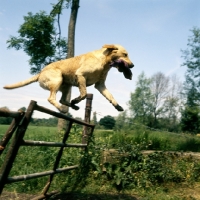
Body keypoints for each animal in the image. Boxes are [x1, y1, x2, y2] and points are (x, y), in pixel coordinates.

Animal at [3, 44, 134, 112]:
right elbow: (84, 94)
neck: (104, 61)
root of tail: (40, 73)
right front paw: (76, 99)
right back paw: (62, 108)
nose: (132, 65)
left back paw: (73, 106)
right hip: (58, 80)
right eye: (125, 54)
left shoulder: (100, 85)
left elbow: (111, 96)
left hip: (67, 85)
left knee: (62, 100)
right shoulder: (81, 75)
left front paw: (117, 106)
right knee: (52, 99)